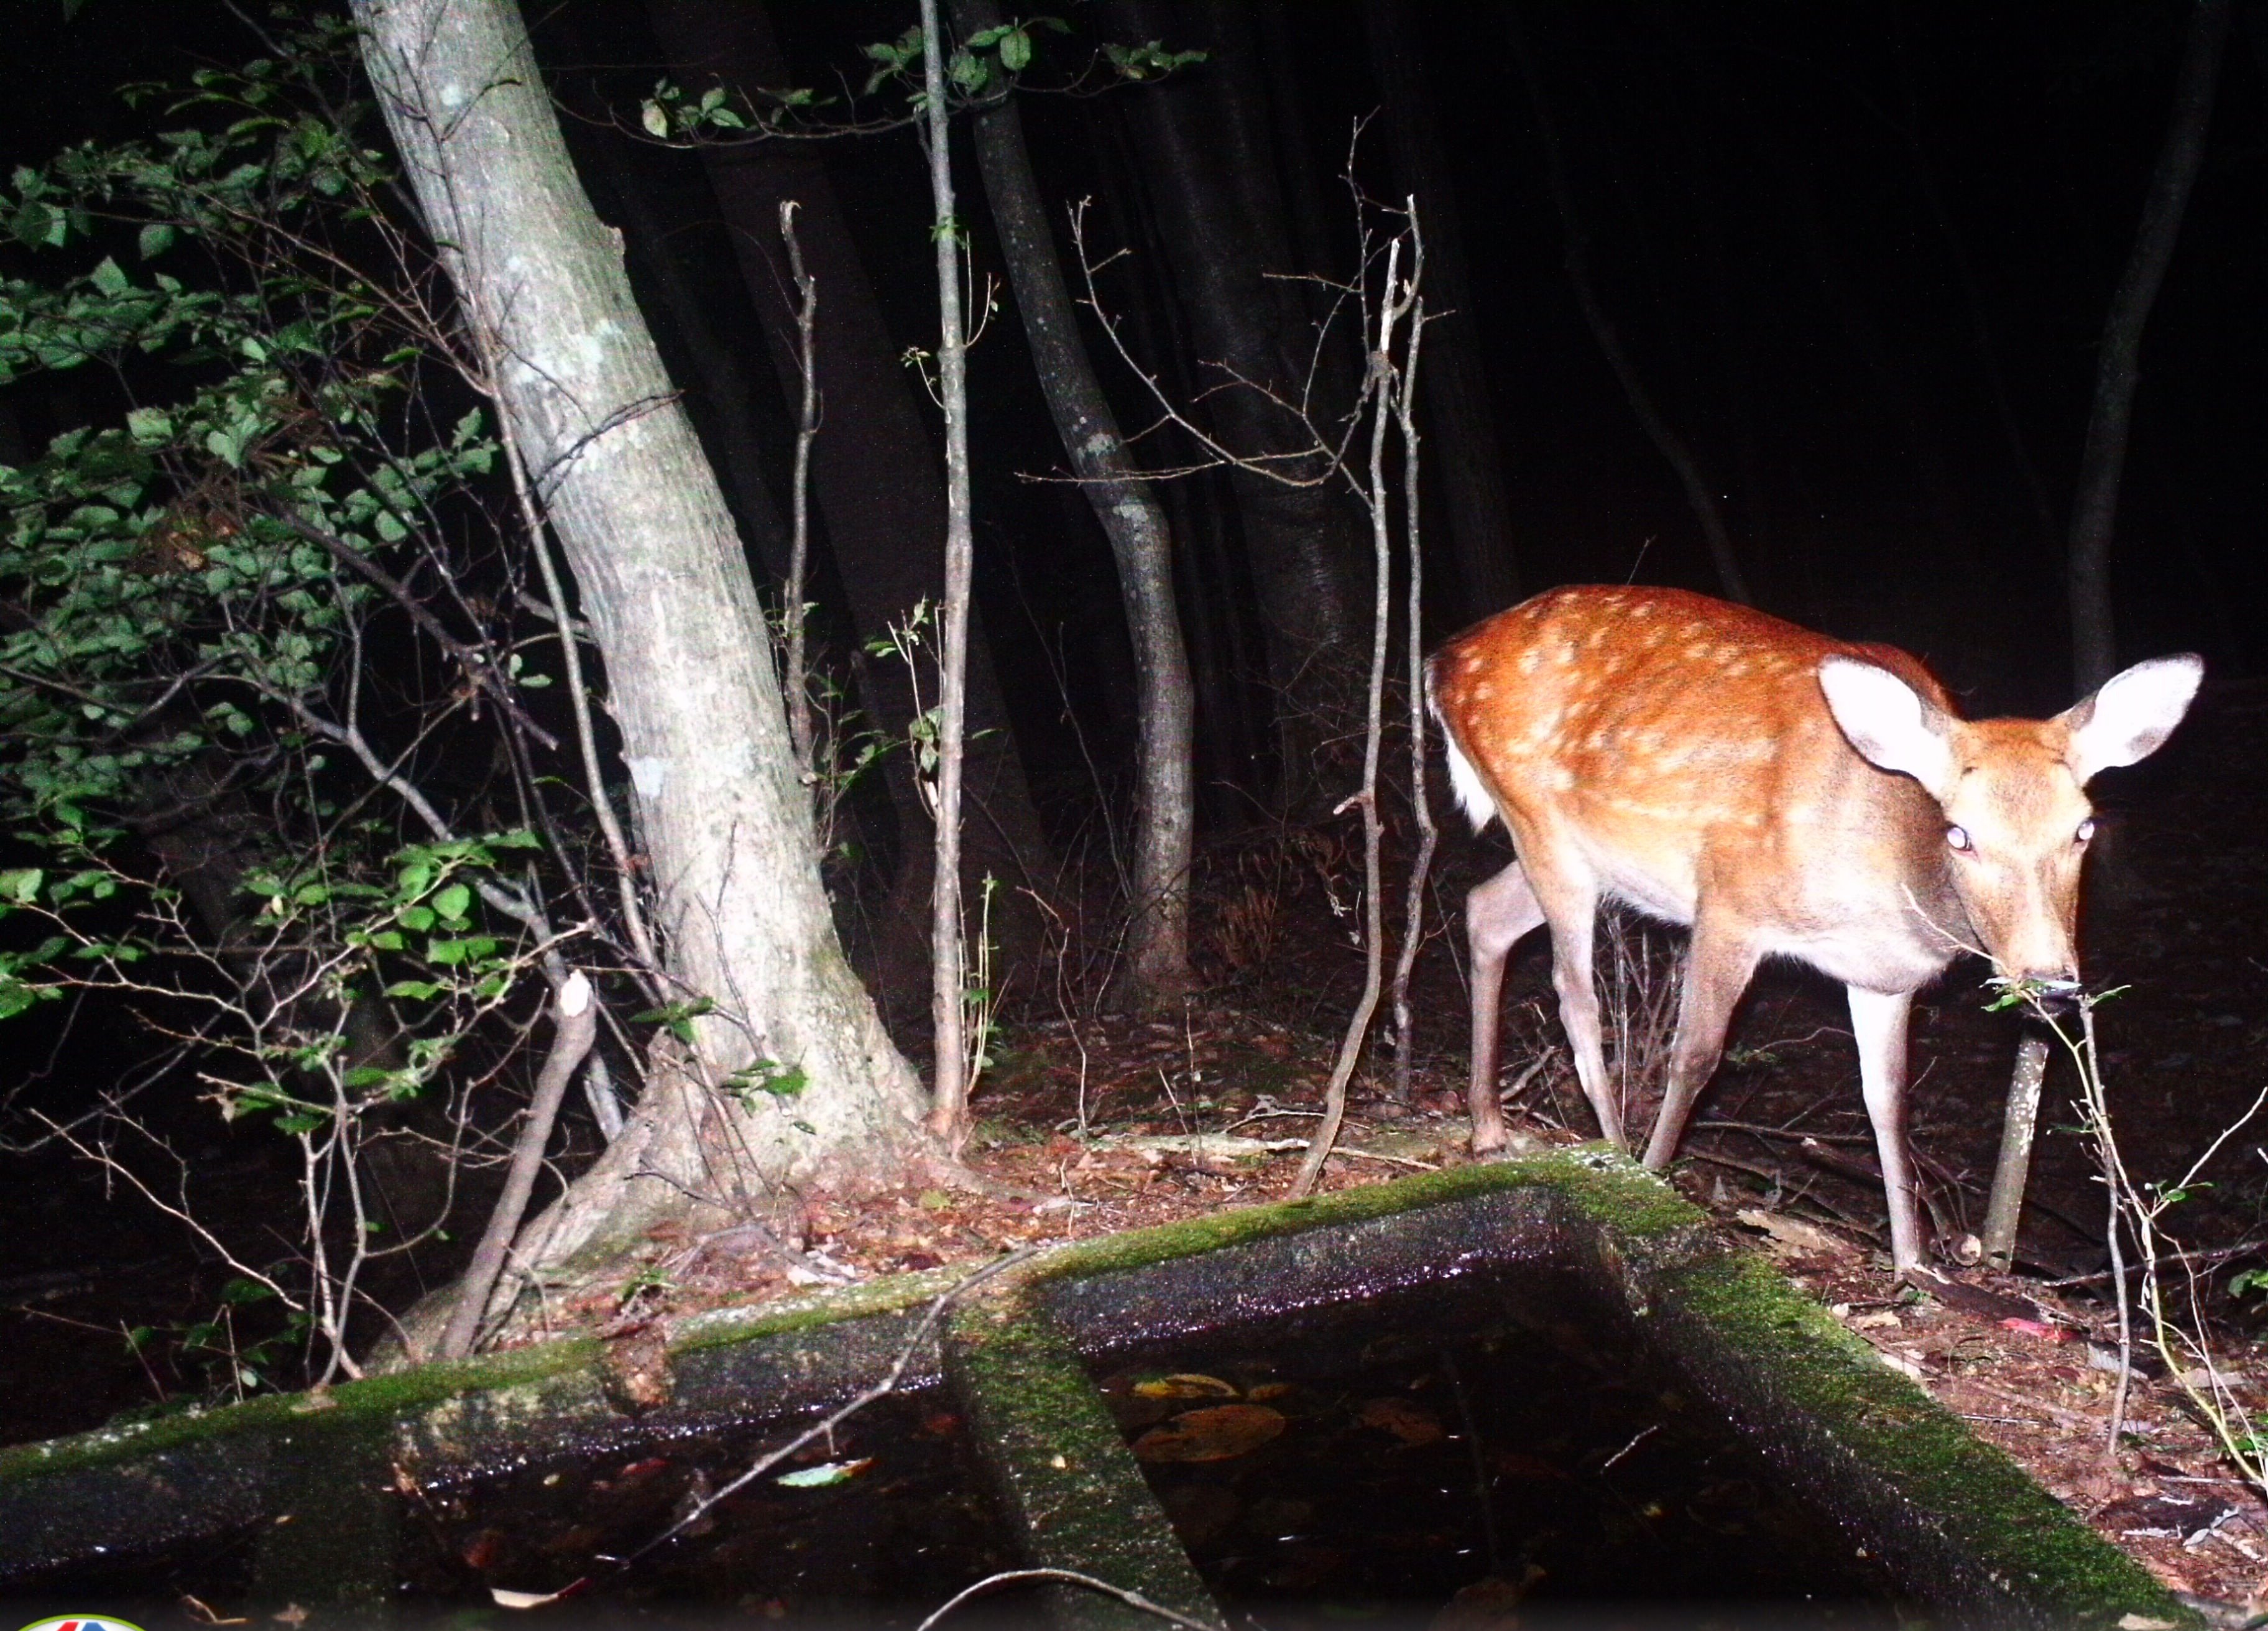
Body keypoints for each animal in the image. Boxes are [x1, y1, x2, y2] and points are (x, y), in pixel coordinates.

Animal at [1426, 584, 2201, 1274]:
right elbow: (1695, 1055)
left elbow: (1888, 1099)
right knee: (1573, 993)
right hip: (1540, 820)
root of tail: (1443, 661)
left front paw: (1915, 1265)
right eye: (1960, 833)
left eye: (2084, 827)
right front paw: (1653, 1175)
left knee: (1485, 909)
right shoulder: (1729, 898)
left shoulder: (1882, 977)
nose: (2051, 981)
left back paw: (1488, 1129)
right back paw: (1610, 1151)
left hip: (1579, 856)